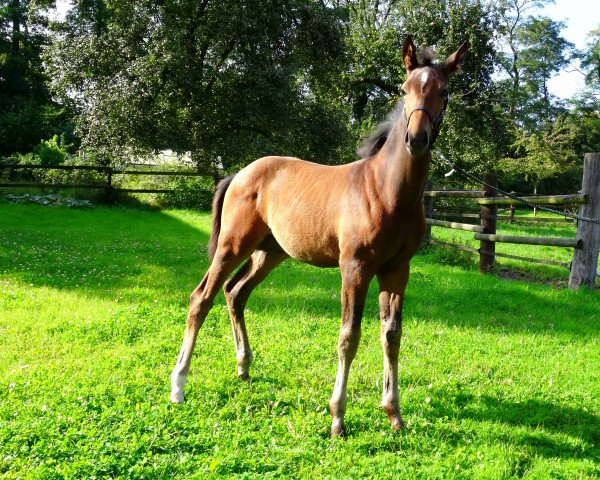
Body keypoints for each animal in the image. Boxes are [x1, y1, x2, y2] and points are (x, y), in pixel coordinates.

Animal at [170, 36, 468, 436]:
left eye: (444, 92)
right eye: (405, 89)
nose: (416, 139)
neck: (387, 192)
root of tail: (239, 174)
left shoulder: (397, 269)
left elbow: (391, 336)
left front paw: (394, 414)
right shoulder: (355, 268)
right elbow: (348, 337)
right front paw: (338, 418)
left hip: (269, 253)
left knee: (235, 293)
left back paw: (244, 368)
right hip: (233, 245)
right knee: (202, 297)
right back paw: (179, 385)